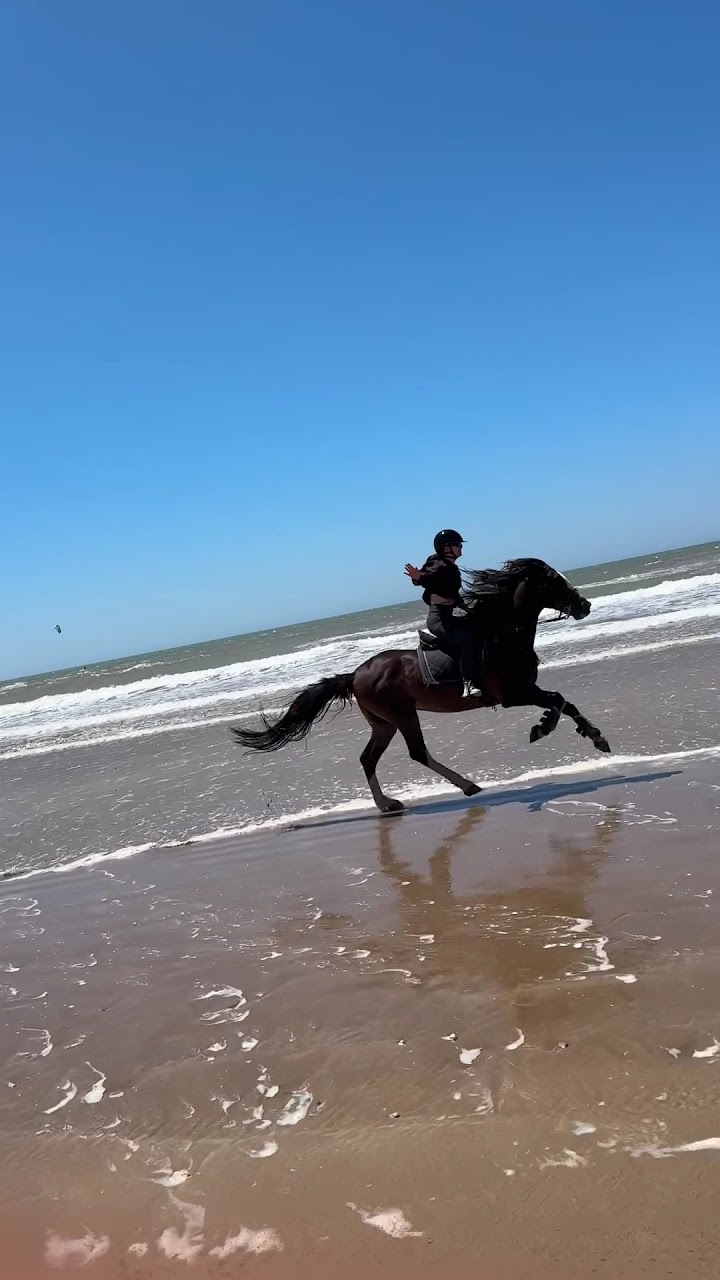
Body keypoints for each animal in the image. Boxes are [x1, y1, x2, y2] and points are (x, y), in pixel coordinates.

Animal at [231, 557, 611, 813]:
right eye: (555, 583)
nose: (585, 605)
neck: (503, 634)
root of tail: (355, 675)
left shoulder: (524, 691)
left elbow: (566, 702)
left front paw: (597, 737)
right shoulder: (511, 694)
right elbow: (559, 700)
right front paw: (545, 728)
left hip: (383, 723)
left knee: (368, 758)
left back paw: (388, 804)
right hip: (401, 715)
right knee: (415, 751)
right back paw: (465, 786)